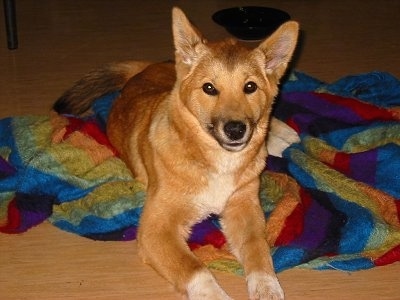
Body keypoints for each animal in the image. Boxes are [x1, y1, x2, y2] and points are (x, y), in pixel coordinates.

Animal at [52, 7, 296, 300]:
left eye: (250, 87)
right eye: (209, 88)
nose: (236, 130)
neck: (215, 159)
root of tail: (150, 67)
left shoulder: (245, 208)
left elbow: (258, 251)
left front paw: (267, 286)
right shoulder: (156, 230)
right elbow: (195, 269)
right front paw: (215, 294)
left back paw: (285, 137)